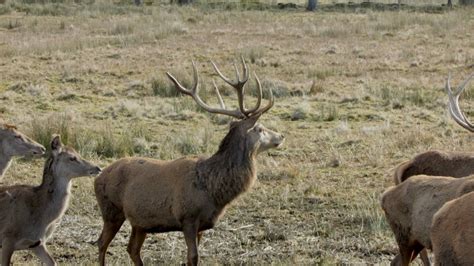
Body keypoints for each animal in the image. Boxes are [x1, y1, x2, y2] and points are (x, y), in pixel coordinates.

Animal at [94, 58, 284, 266]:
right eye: (259, 128)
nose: (281, 135)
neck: (212, 189)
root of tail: (98, 176)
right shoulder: (188, 217)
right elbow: (192, 257)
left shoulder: (201, 225)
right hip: (111, 210)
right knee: (102, 243)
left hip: (139, 221)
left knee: (132, 249)